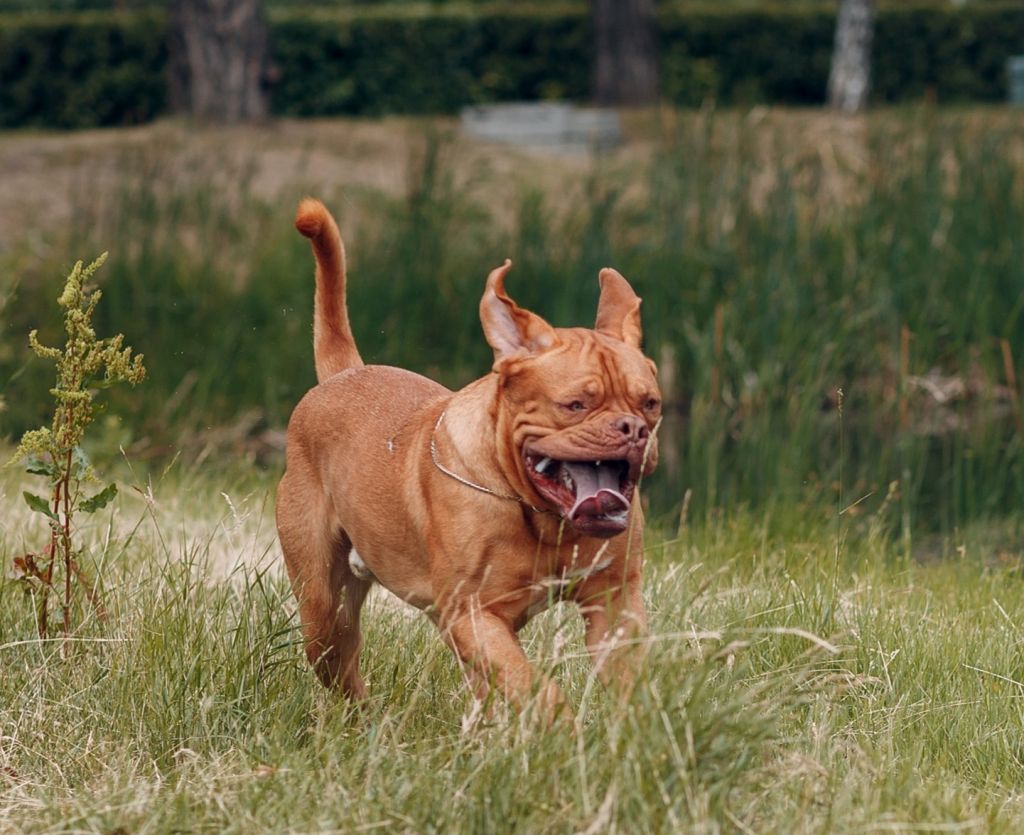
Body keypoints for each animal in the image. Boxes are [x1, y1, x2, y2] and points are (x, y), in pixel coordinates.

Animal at [278, 197, 663, 717]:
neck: (541, 514)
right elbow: (535, 685)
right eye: (575, 405)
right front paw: (560, 724)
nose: (633, 430)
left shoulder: (614, 605)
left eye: (650, 404)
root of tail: (345, 374)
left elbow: (628, 683)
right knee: (339, 659)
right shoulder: (475, 614)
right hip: (324, 608)